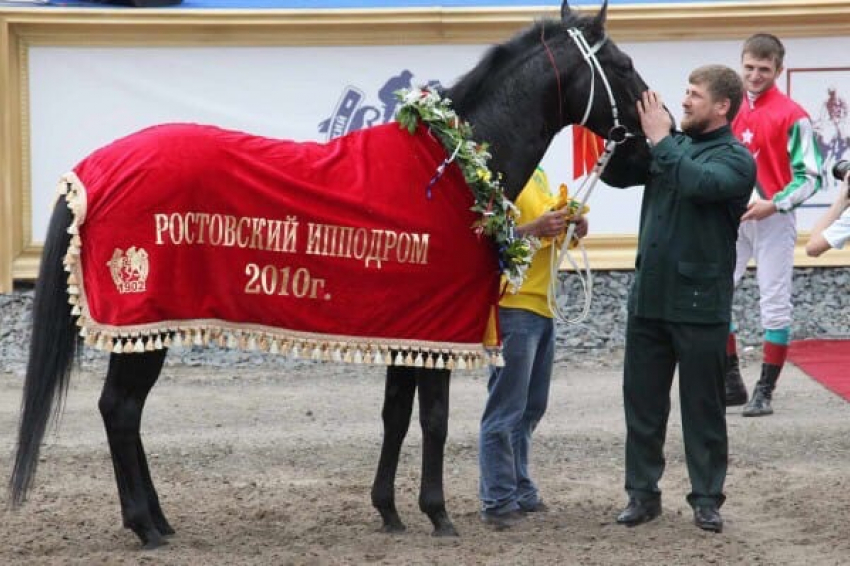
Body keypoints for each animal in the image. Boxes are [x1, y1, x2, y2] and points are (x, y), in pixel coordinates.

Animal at [9, 0, 648, 552]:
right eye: (622, 66)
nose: (643, 153)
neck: (450, 170)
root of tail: (90, 170)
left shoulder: (409, 329)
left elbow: (396, 415)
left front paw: (389, 509)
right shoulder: (441, 329)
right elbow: (435, 420)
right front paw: (437, 513)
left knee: (126, 412)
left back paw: (159, 520)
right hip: (142, 322)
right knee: (120, 409)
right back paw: (146, 525)